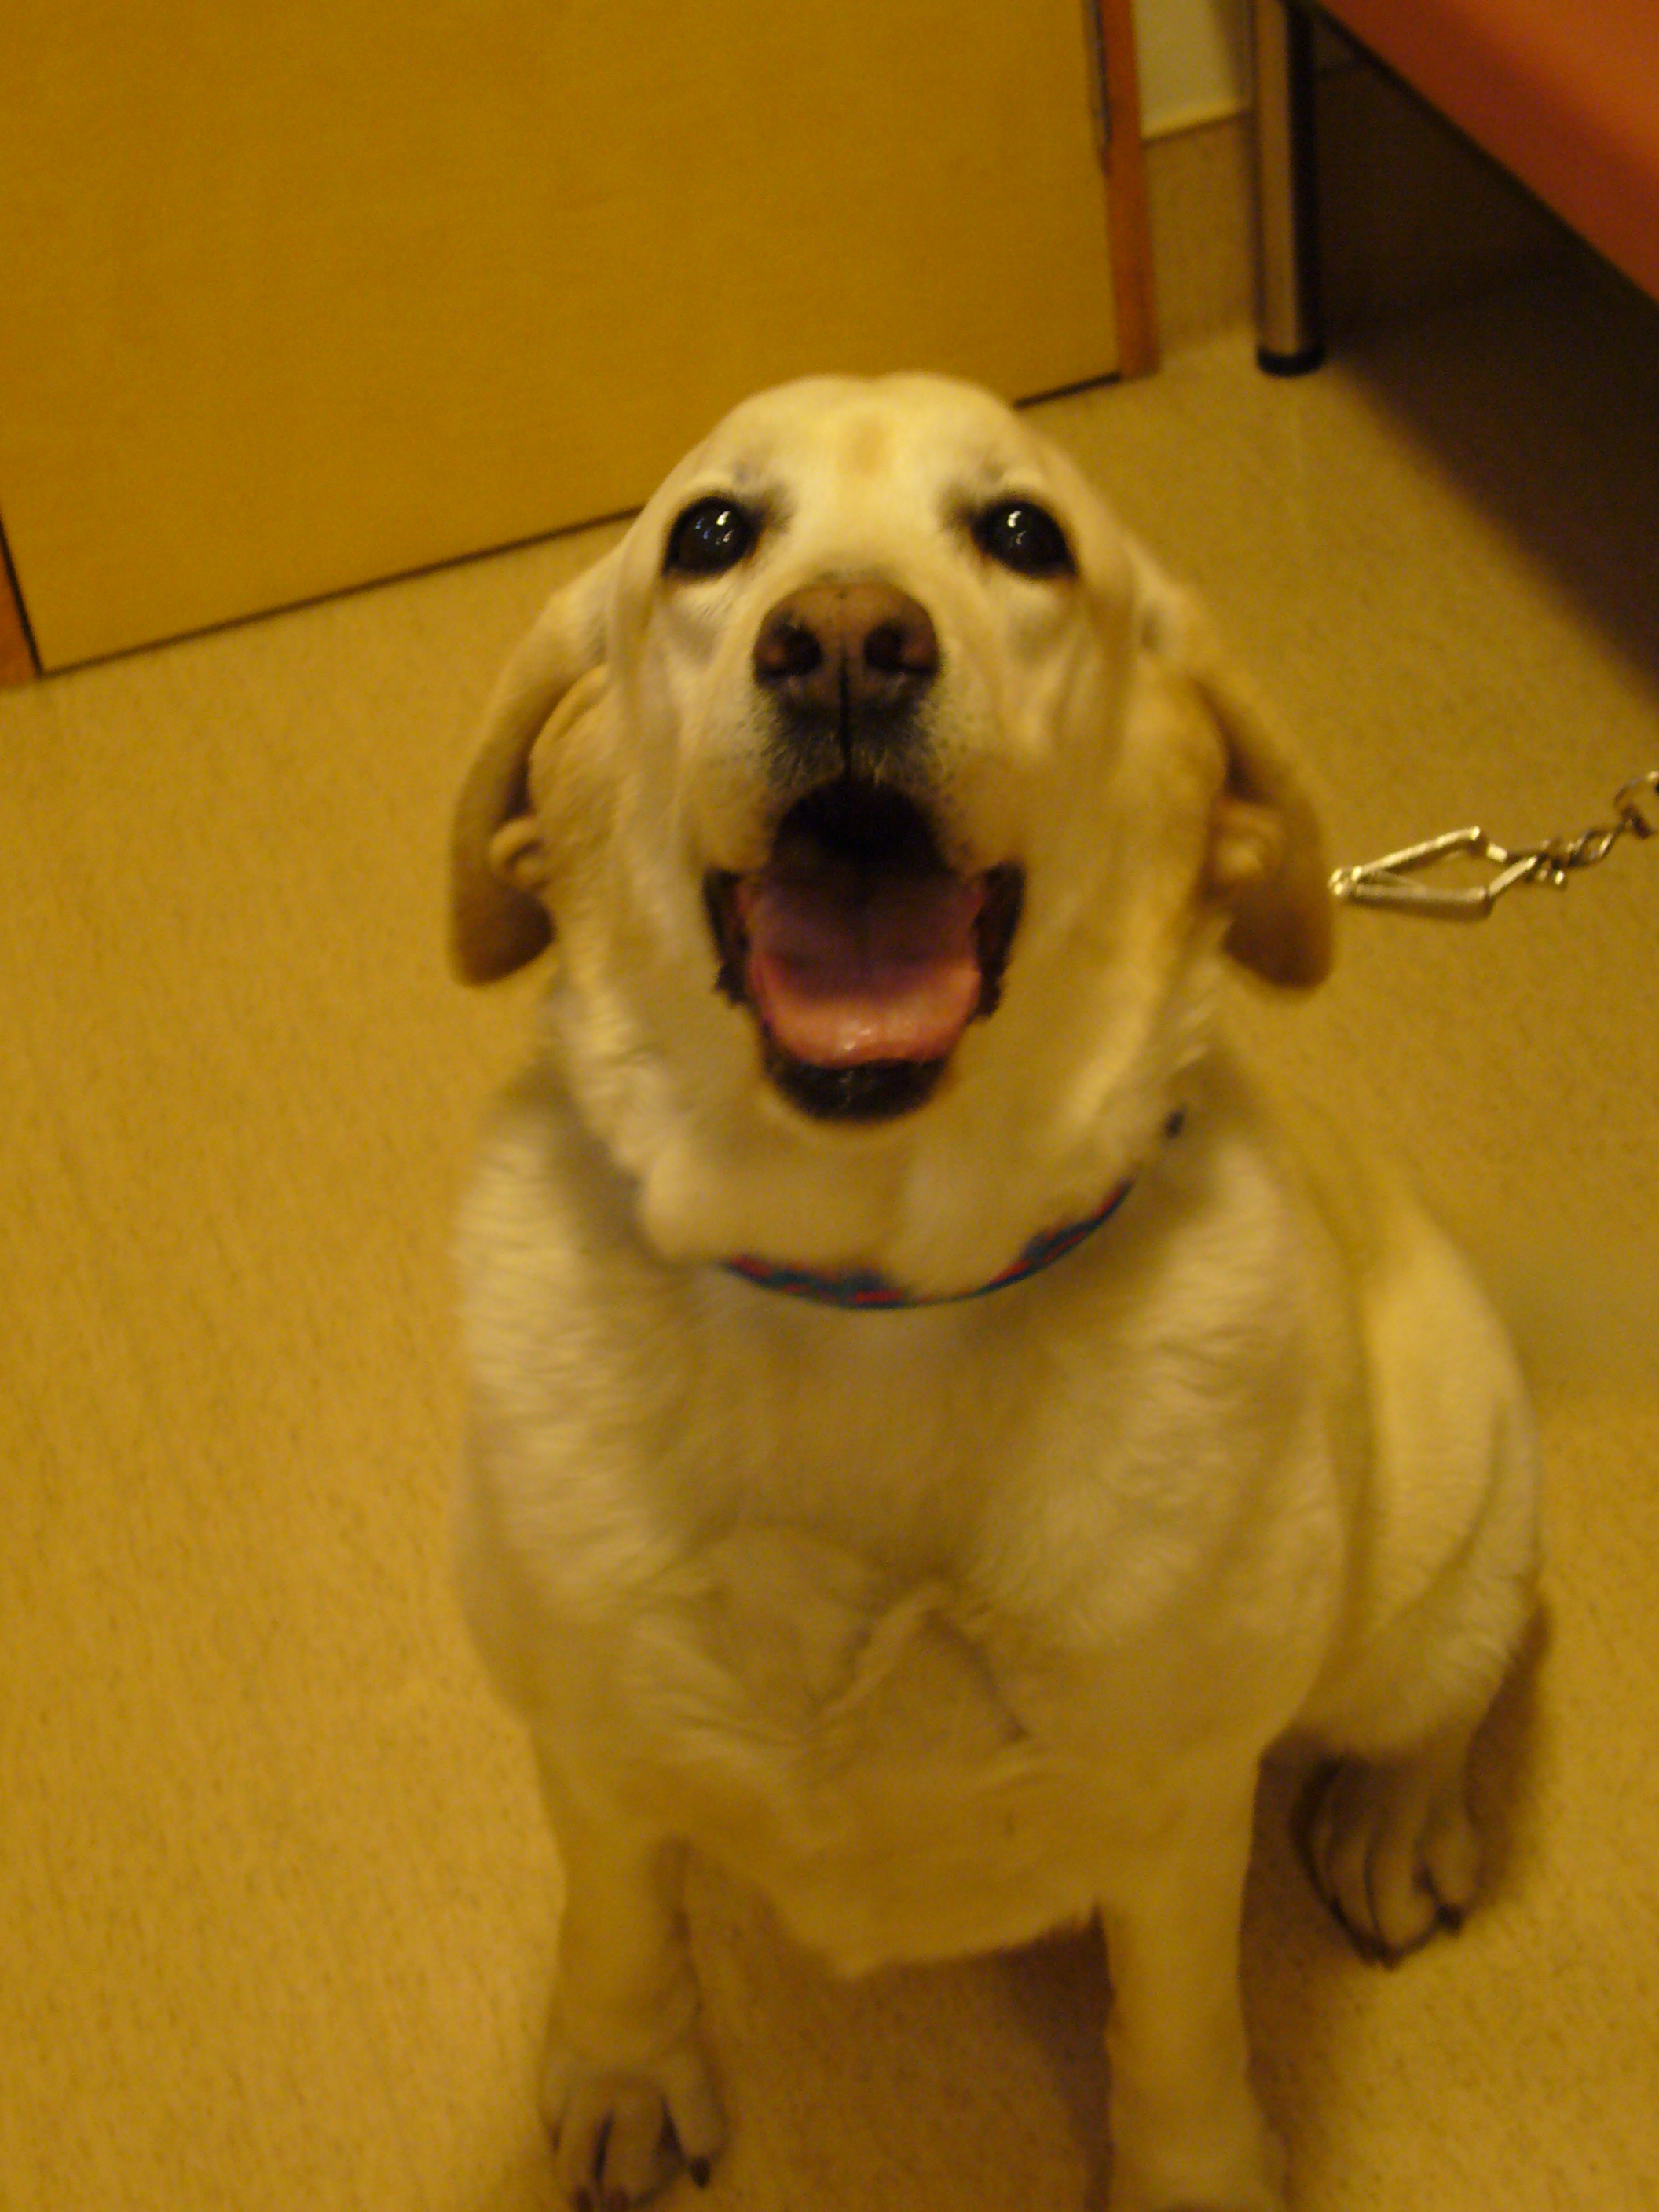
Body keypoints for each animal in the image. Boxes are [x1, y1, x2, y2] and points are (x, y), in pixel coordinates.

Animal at [447, 375, 1539, 2211]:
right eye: (713, 533)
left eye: (1022, 534)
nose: (842, 641)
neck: (866, 1293)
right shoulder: (580, 1726)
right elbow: (616, 1918)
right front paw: (621, 2064)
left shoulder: (1177, 1807)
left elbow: (1177, 2033)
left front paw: (1191, 2171)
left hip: (1427, 1538)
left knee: (1462, 1669)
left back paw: (1394, 1815)